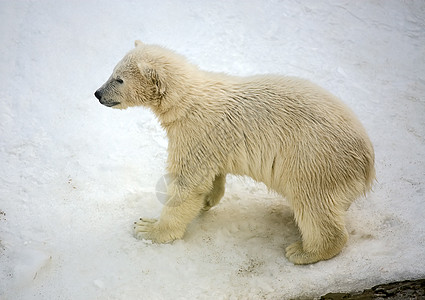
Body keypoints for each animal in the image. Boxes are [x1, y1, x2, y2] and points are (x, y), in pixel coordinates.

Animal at [94, 41, 372, 264]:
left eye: (119, 79)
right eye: (113, 72)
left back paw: (303, 251)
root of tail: (367, 162)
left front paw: (147, 228)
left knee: (313, 204)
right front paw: (207, 201)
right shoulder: (212, 142)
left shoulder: (194, 130)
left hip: (314, 161)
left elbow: (187, 183)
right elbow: (210, 176)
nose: (97, 93)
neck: (185, 101)